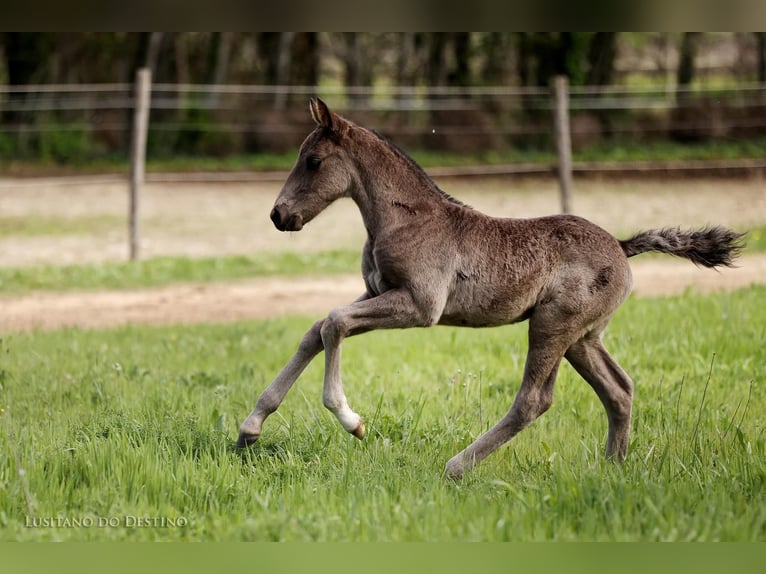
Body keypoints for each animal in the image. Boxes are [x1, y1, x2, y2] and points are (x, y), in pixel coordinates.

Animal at [237, 97, 745, 478]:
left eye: (313, 161)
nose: (280, 215)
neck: (408, 219)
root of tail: (622, 246)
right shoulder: (376, 292)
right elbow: (317, 328)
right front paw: (250, 428)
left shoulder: (420, 305)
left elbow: (334, 324)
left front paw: (353, 422)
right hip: (582, 337)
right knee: (619, 390)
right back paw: (612, 470)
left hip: (552, 326)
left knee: (535, 400)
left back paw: (457, 467)